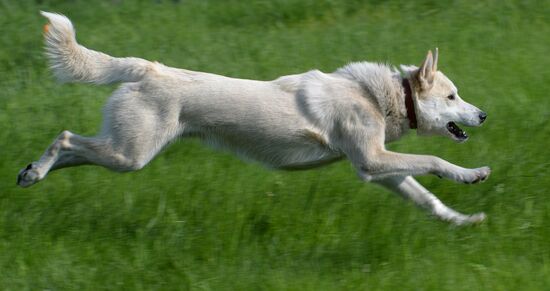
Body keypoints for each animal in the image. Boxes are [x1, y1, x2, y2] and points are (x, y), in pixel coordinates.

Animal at [17, 12, 492, 226]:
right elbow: (435, 162)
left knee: (72, 149)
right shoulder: (372, 161)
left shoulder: (378, 170)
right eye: (452, 96)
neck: (380, 97)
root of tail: (147, 68)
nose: (484, 114)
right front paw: (474, 174)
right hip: (130, 153)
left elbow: (426, 199)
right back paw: (34, 172)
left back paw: (30, 174)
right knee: (65, 137)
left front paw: (463, 220)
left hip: (124, 150)